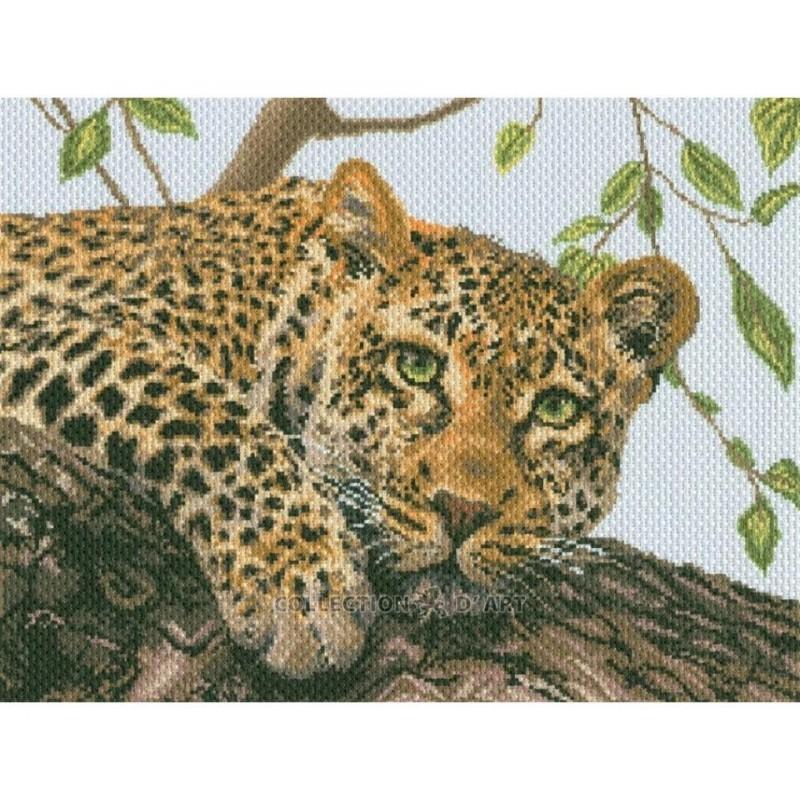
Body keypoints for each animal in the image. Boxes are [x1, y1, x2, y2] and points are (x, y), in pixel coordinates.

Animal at [0, 159, 699, 679]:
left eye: (556, 408)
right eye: (415, 367)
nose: (464, 511)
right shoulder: (35, 329)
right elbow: (198, 406)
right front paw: (303, 588)